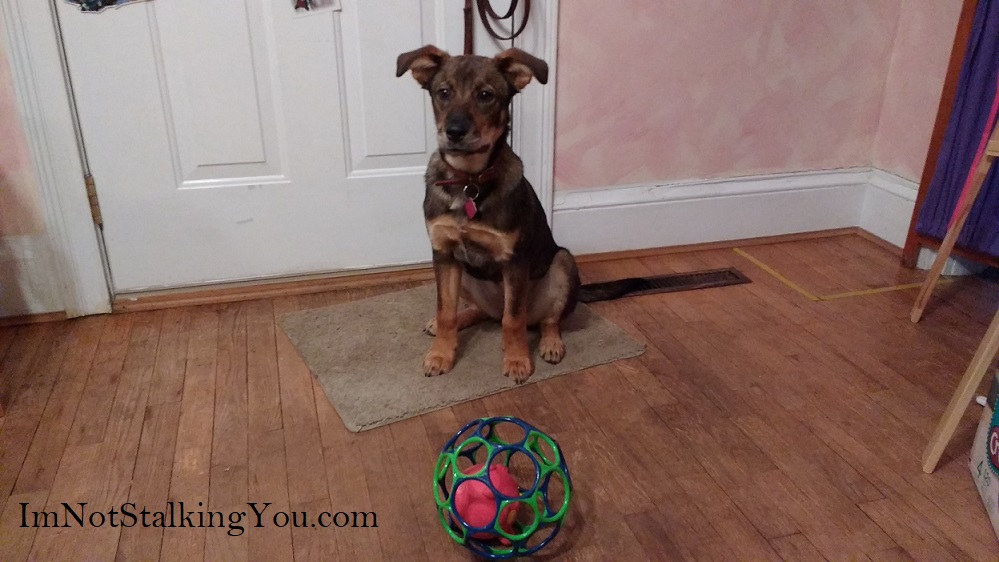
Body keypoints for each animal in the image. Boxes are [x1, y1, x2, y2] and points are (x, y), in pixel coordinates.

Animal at [396, 45, 580, 384]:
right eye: (443, 92)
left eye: (485, 95)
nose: (454, 131)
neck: (469, 181)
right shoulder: (443, 254)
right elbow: (445, 311)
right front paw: (440, 356)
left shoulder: (514, 260)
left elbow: (513, 319)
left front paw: (517, 361)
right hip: (465, 275)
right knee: (478, 311)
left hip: (563, 263)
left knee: (546, 319)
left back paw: (550, 344)